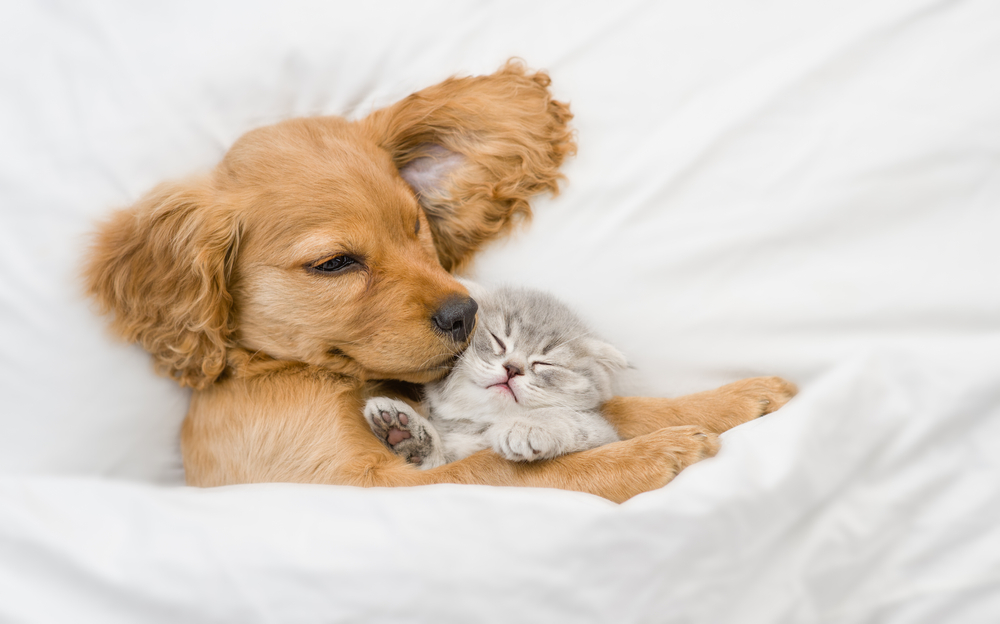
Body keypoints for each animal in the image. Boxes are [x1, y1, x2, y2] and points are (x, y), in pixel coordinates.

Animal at [364, 282, 624, 468]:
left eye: (544, 363)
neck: (482, 428)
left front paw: (527, 426)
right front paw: (407, 435)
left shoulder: (606, 439)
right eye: (498, 341)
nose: (513, 368)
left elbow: (569, 418)